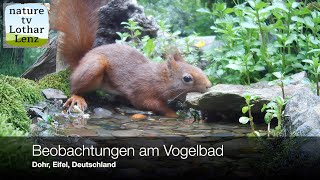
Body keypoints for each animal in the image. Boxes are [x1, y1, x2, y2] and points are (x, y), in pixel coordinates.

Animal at [52, 0, 212, 117]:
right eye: (187, 78)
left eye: (199, 68)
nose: (209, 86)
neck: (158, 78)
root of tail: (82, 60)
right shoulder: (142, 92)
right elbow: (151, 104)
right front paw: (173, 114)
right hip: (93, 67)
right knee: (74, 87)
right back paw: (77, 97)